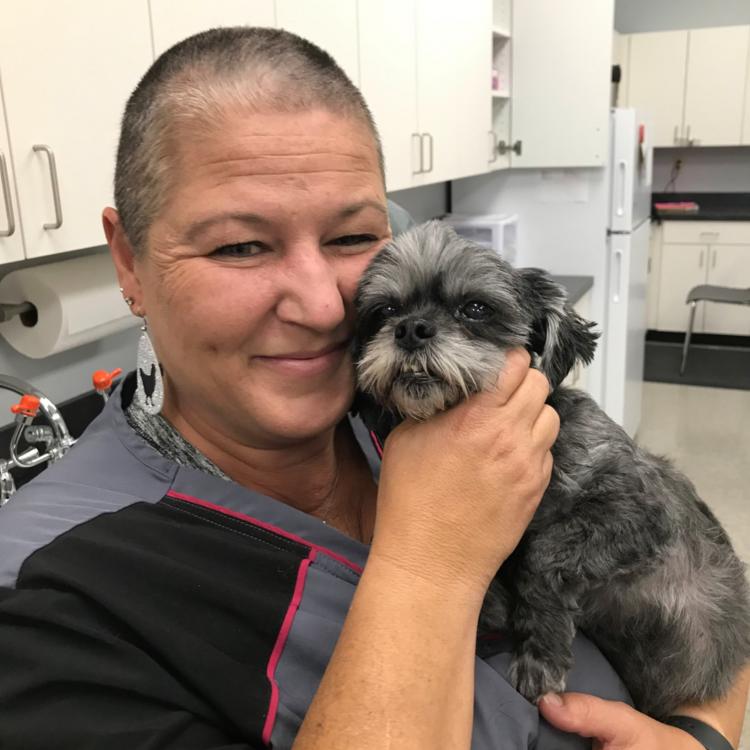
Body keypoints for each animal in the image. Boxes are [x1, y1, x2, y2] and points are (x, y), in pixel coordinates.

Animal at [353, 220, 750, 718]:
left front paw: (540, 653)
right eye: (385, 310)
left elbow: (543, 556)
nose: (410, 328)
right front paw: (503, 611)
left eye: (476, 308)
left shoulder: (640, 513)